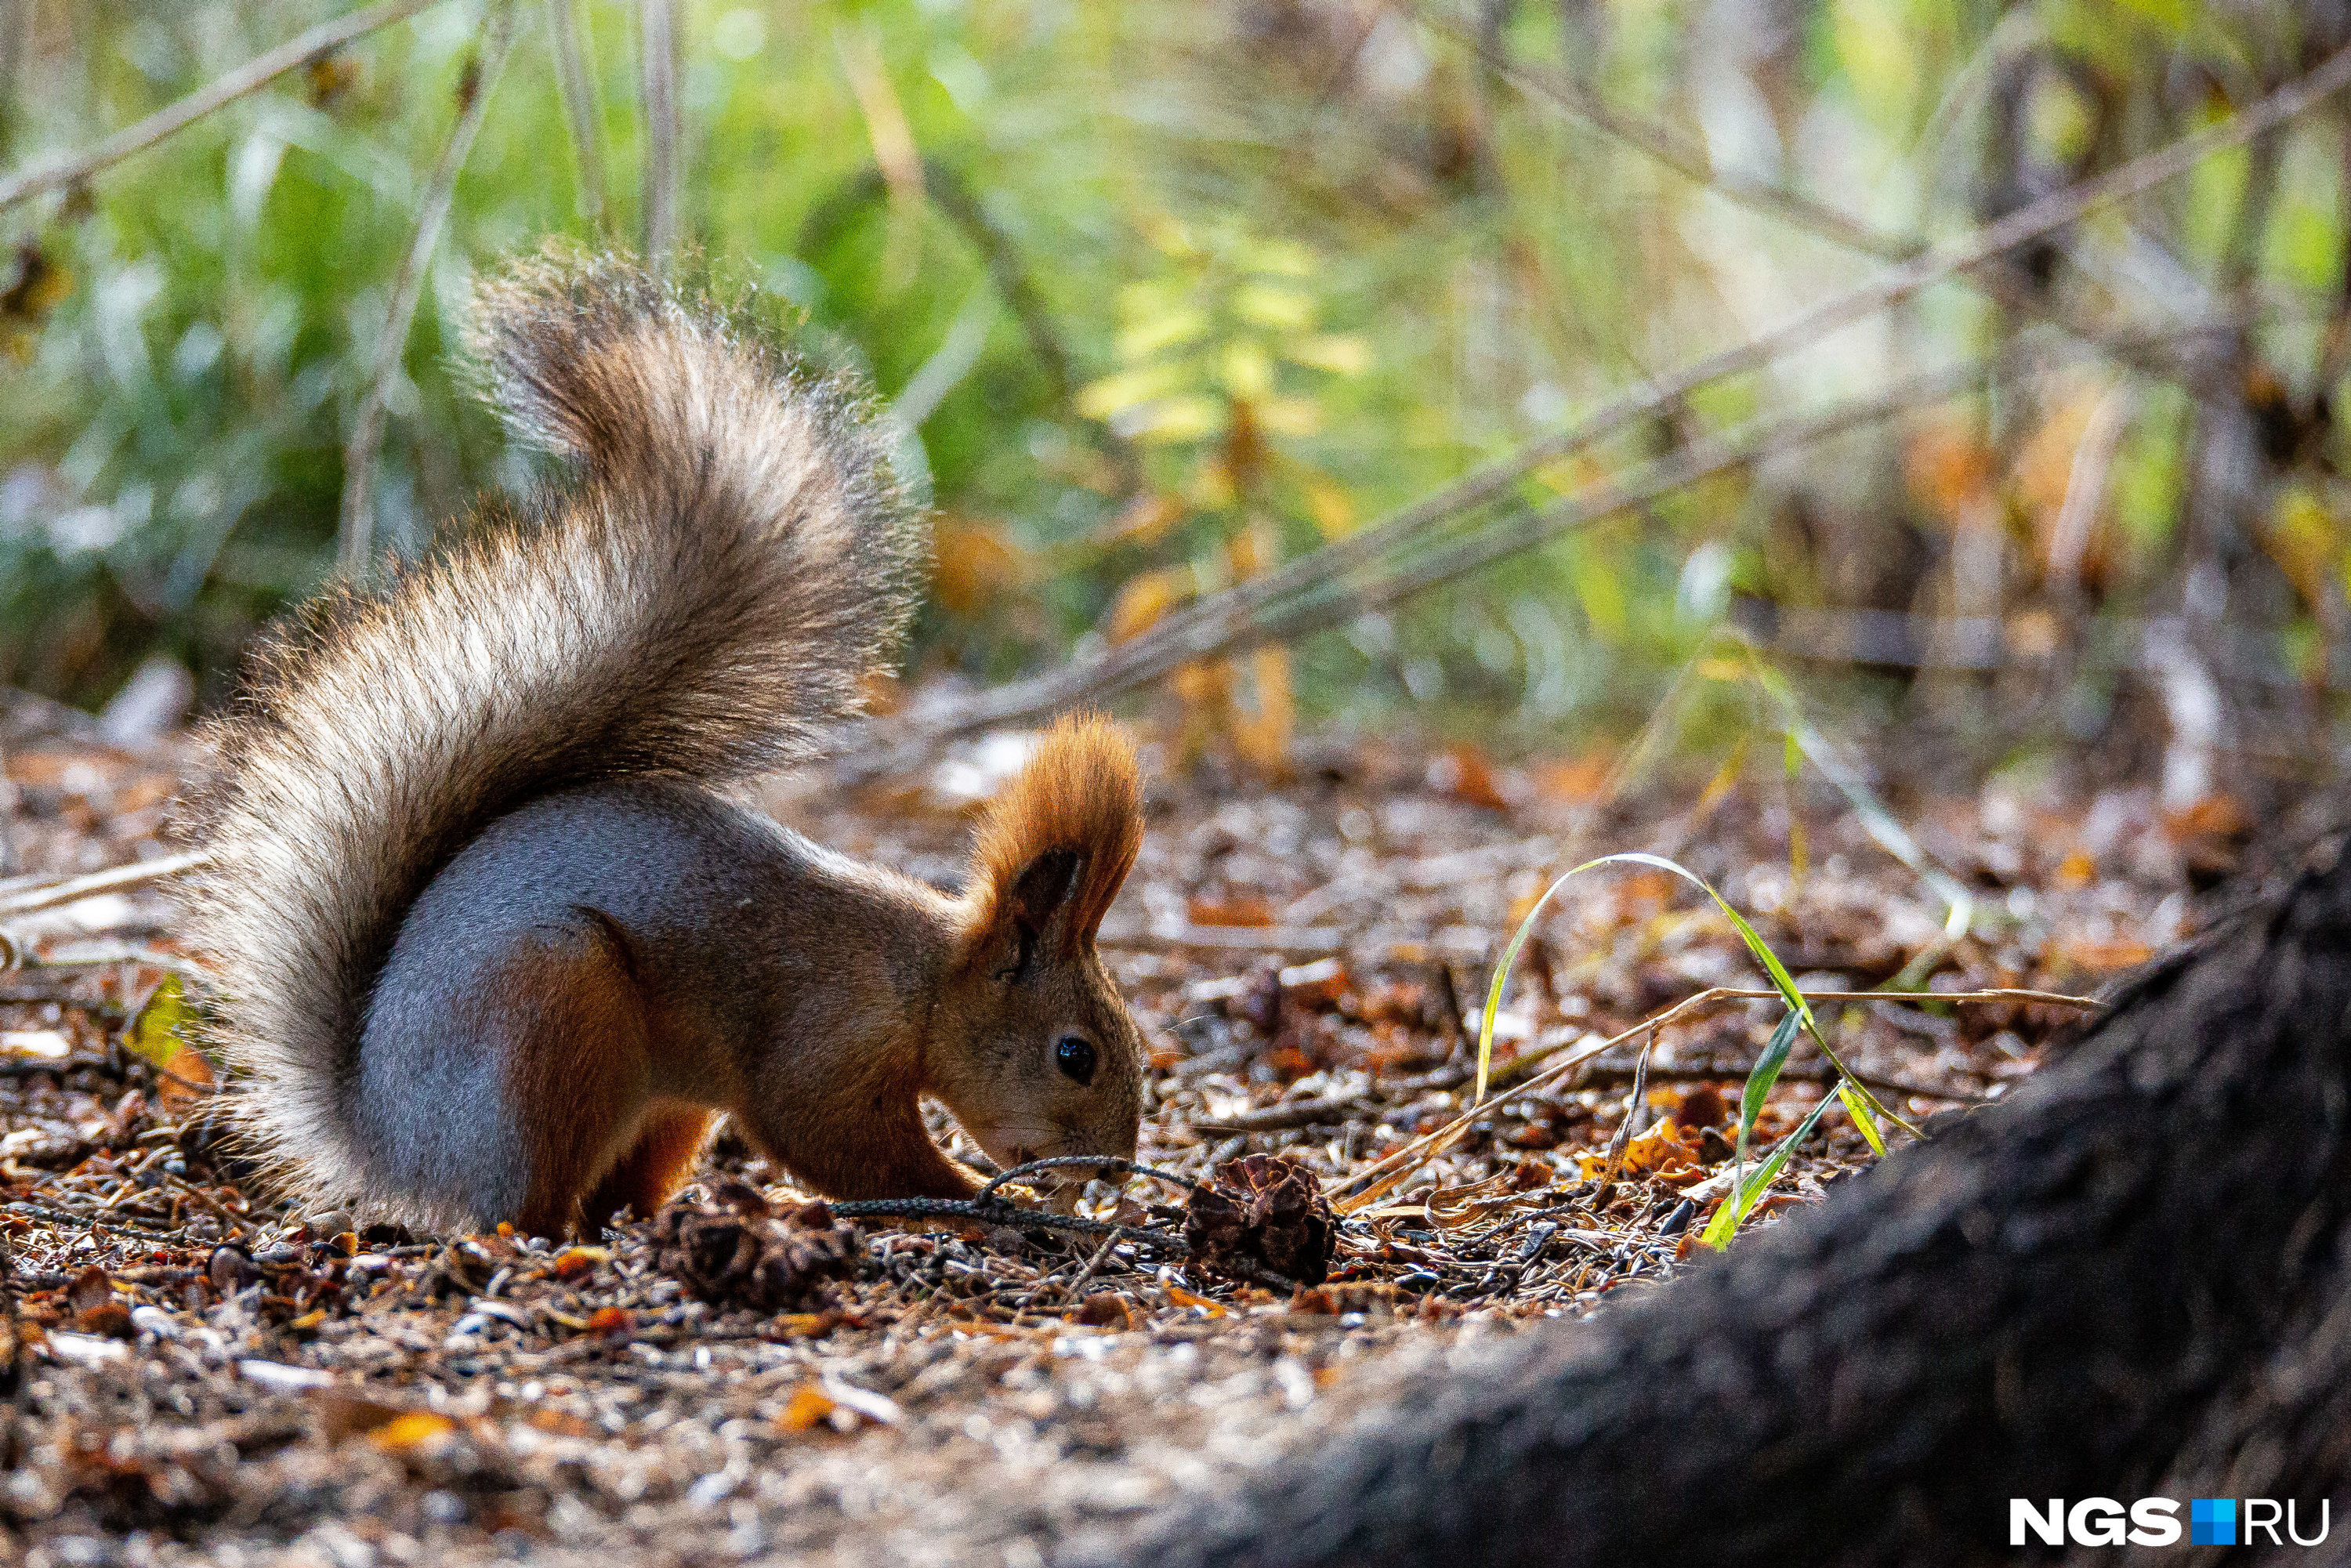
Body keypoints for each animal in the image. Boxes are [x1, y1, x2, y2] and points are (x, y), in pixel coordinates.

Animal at [183, 255, 1147, 1241]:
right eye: (1075, 1054)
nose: (1115, 1166)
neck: (918, 981)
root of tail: (388, 1139)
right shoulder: (821, 1037)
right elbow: (830, 1138)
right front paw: (996, 1203)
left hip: (669, 1101)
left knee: (619, 1192)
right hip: (549, 1012)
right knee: (524, 1209)